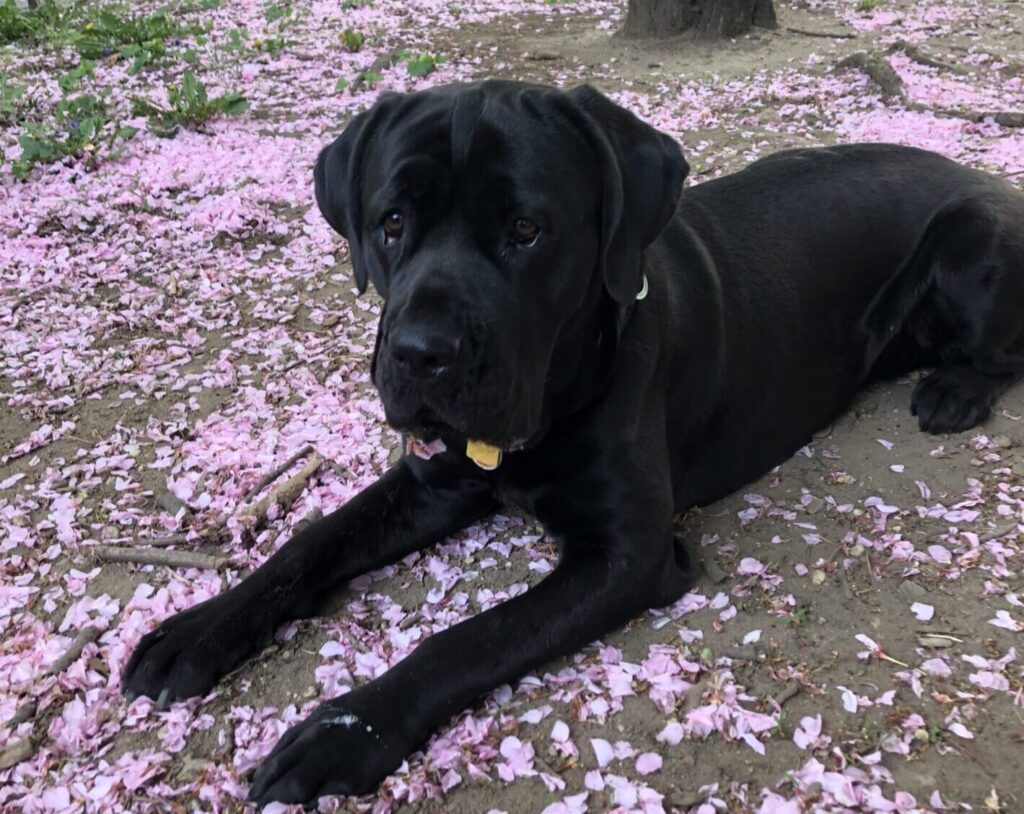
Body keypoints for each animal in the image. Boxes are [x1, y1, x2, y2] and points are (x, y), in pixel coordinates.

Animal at [121, 79, 1024, 806]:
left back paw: (954, 390)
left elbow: (468, 638)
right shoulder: (433, 481)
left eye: (527, 229)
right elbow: (312, 542)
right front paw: (197, 629)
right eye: (391, 223)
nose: (419, 353)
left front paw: (345, 731)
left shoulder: (625, 552)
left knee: (1004, 348)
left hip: (970, 243)